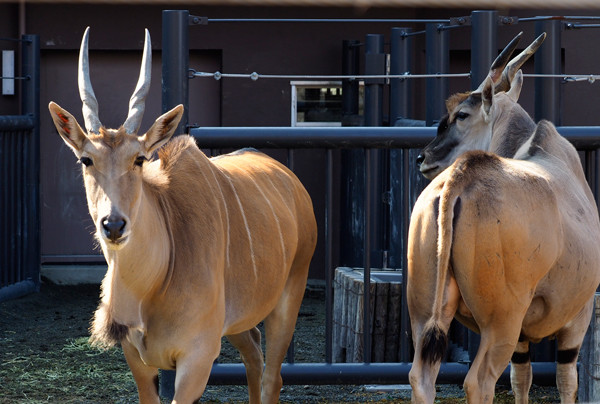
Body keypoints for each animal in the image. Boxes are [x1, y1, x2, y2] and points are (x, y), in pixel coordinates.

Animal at [47, 26, 318, 402]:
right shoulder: (138, 360)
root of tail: (292, 181)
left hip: (290, 293)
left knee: (272, 377)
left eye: (139, 159)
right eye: (86, 159)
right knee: (253, 352)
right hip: (240, 321)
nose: (113, 225)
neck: (157, 282)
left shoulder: (197, 358)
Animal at [406, 32, 596, 404]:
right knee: (479, 382)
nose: (422, 158)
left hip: (425, 316)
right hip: (500, 323)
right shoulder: (576, 319)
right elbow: (566, 381)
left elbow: (521, 378)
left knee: (421, 377)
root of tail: (461, 175)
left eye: (462, 114)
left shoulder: (525, 335)